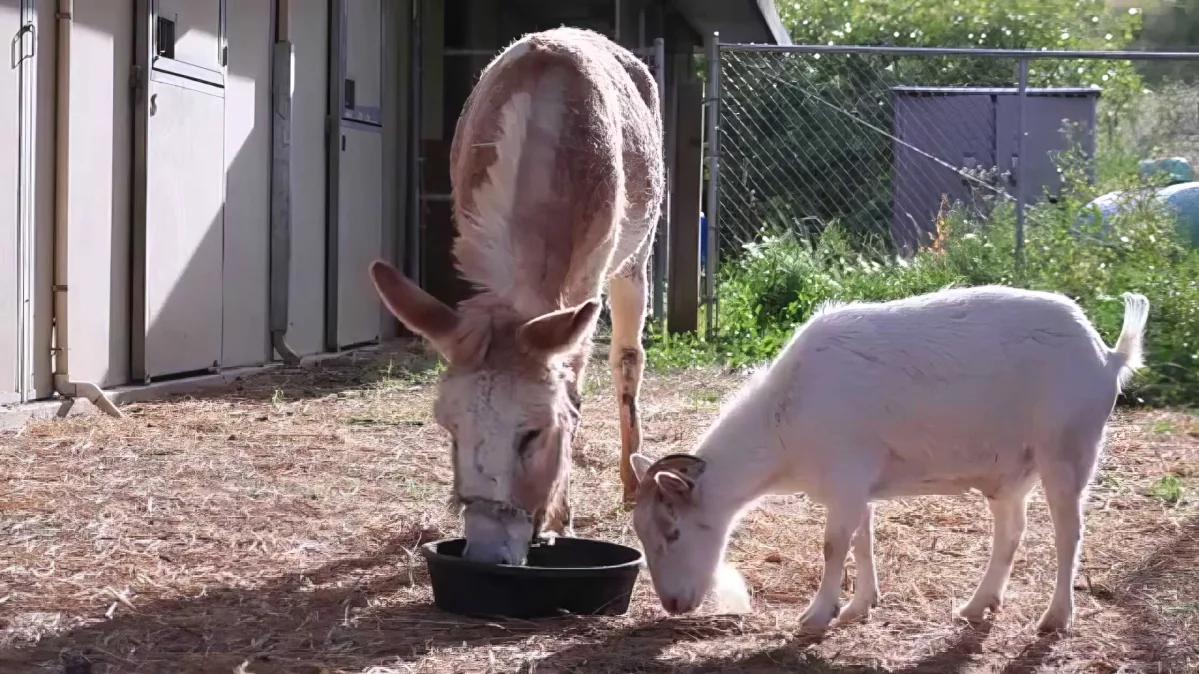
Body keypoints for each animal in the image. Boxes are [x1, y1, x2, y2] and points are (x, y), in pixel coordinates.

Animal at [630, 285, 1150, 633]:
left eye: (673, 532)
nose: (673, 603)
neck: (786, 416)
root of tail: (1108, 356)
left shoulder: (847, 474)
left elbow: (834, 544)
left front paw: (816, 615)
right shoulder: (857, 486)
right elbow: (862, 539)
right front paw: (859, 606)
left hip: (1067, 447)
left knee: (1069, 533)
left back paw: (1054, 618)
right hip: (1012, 471)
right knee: (1011, 532)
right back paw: (976, 606)